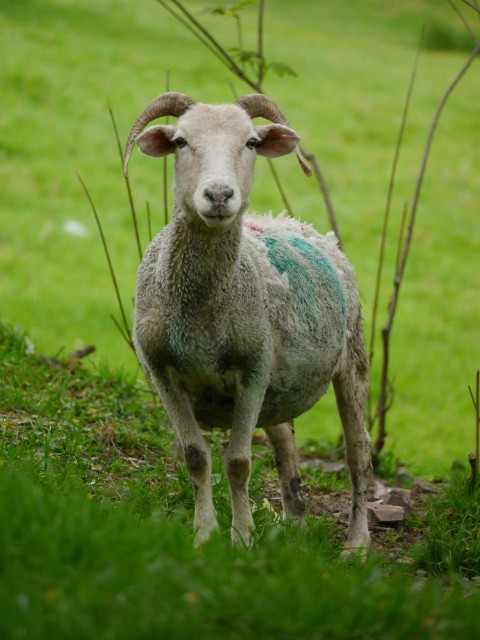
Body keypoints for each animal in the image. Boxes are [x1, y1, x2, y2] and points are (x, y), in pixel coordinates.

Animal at [124, 91, 372, 556]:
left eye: (251, 142)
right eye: (181, 141)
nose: (220, 195)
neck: (200, 313)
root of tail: (299, 224)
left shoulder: (254, 370)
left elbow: (238, 462)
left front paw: (241, 539)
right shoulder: (162, 371)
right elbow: (195, 457)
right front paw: (205, 534)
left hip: (352, 359)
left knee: (359, 455)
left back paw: (357, 544)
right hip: (280, 389)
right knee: (287, 449)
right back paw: (296, 528)